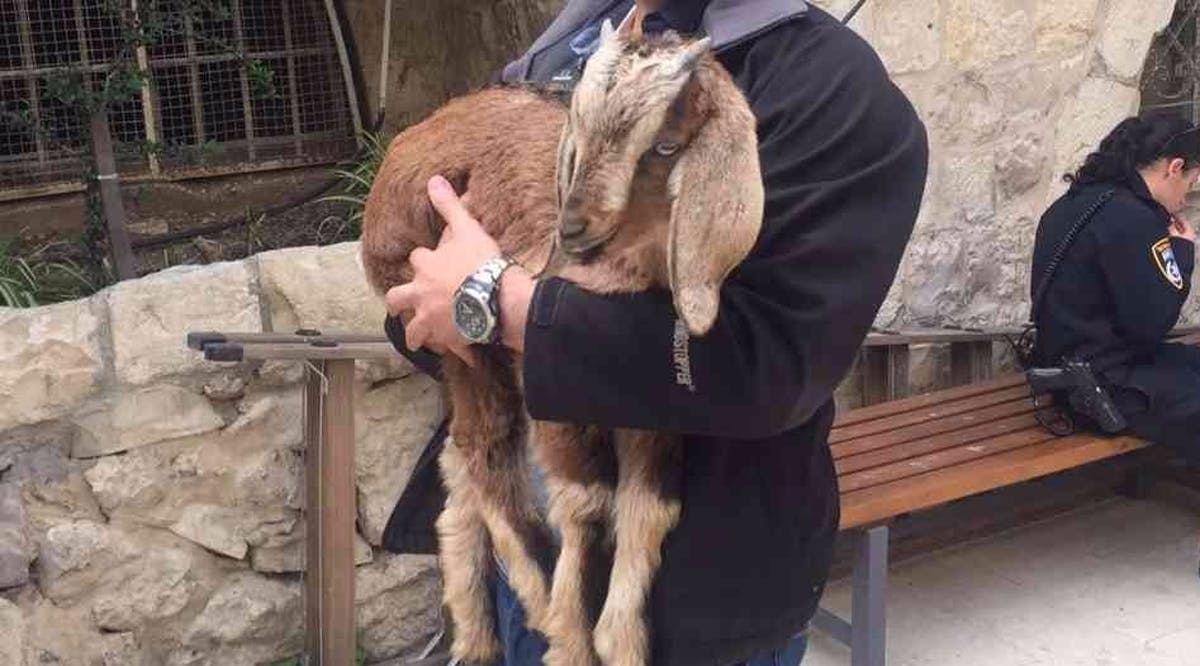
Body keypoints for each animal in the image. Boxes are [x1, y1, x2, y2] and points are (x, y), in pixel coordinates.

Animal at [360, 16, 763, 666]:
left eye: (666, 146)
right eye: (578, 124)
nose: (572, 229)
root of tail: (405, 144)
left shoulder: (652, 407)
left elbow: (649, 507)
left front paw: (622, 642)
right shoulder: (548, 379)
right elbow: (586, 502)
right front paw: (574, 641)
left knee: (459, 461)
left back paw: (474, 634)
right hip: (456, 334)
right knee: (484, 446)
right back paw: (531, 594)